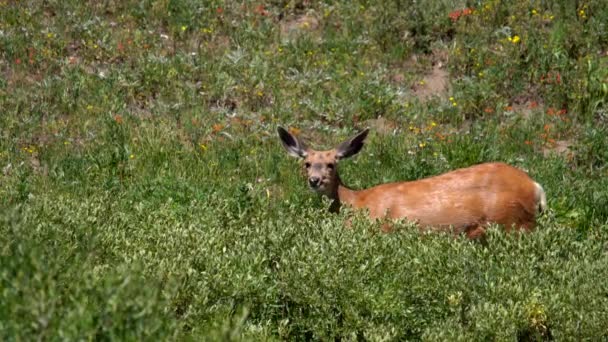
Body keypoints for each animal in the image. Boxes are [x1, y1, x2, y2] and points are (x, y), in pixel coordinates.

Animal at [278, 127, 548, 239]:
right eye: (307, 163)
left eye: (331, 164)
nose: (314, 181)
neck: (354, 202)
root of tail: (536, 186)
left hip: (512, 221)